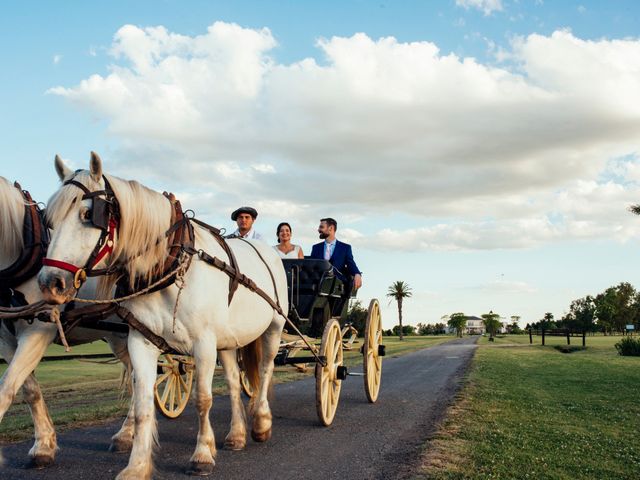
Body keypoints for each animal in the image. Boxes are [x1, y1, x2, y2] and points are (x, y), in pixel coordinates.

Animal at [0, 175, 136, 464]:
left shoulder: (38, 331)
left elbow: (6, 388)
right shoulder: (4, 339)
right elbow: (27, 388)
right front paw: (44, 444)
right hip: (119, 336)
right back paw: (128, 433)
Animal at [37, 155, 282, 480]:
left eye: (88, 214)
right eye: (49, 221)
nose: (49, 283)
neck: (172, 264)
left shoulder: (204, 343)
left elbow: (203, 398)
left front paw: (202, 454)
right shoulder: (142, 341)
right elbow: (142, 405)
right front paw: (137, 465)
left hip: (273, 328)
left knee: (265, 371)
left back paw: (262, 422)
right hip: (229, 340)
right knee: (232, 381)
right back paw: (237, 434)